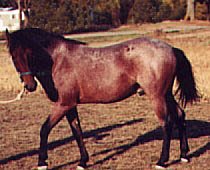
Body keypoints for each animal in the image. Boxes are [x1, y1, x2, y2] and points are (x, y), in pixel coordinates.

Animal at [4, 28, 199, 170]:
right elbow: (77, 131)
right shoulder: (70, 105)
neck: (58, 60)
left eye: (29, 53)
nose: (30, 86)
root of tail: (170, 48)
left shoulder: (62, 104)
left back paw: (161, 161)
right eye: (13, 56)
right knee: (180, 115)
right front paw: (83, 162)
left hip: (157, 97)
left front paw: (42, 163)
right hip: (167, 94)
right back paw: (184, 155)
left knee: (166, 123)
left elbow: (44, 129)